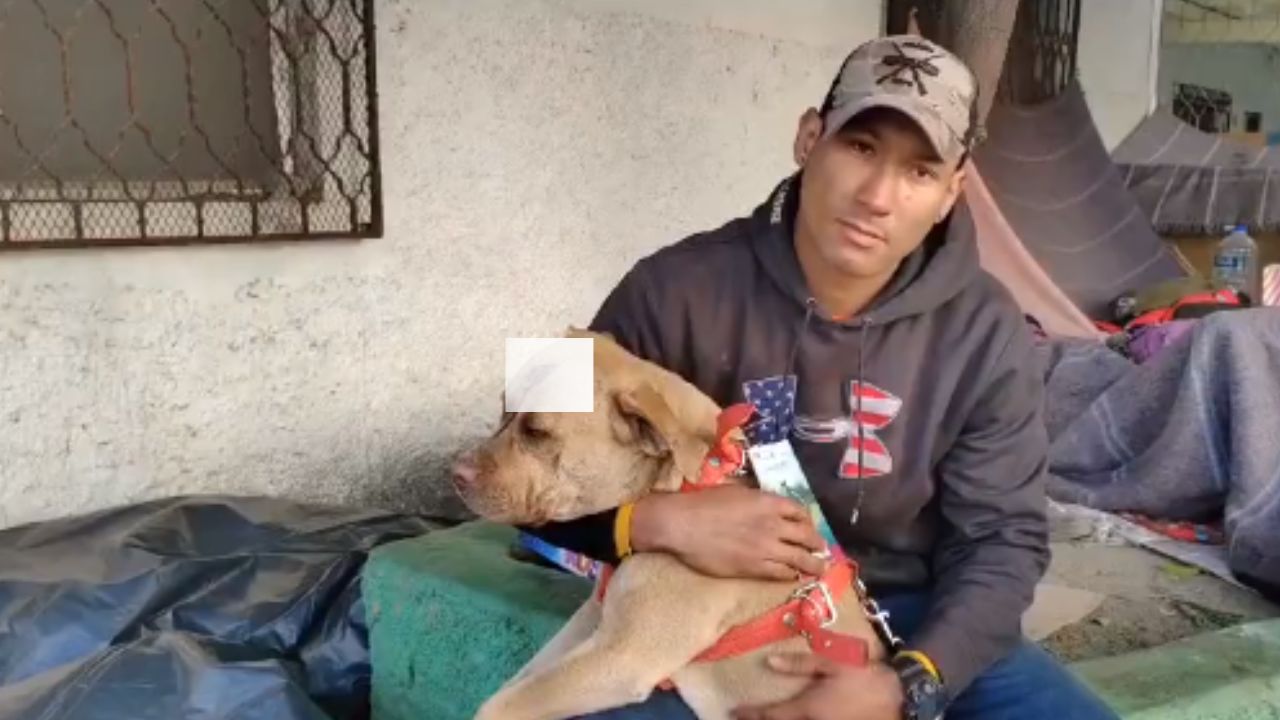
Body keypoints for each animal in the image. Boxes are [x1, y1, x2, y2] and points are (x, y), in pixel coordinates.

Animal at [450, 330, 880, 717]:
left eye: (537, 432)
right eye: (503, 412)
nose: (454, 473)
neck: (696, 479)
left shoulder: (621, 657)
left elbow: (498, 706)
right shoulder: (592, 623)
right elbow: (515, 682)